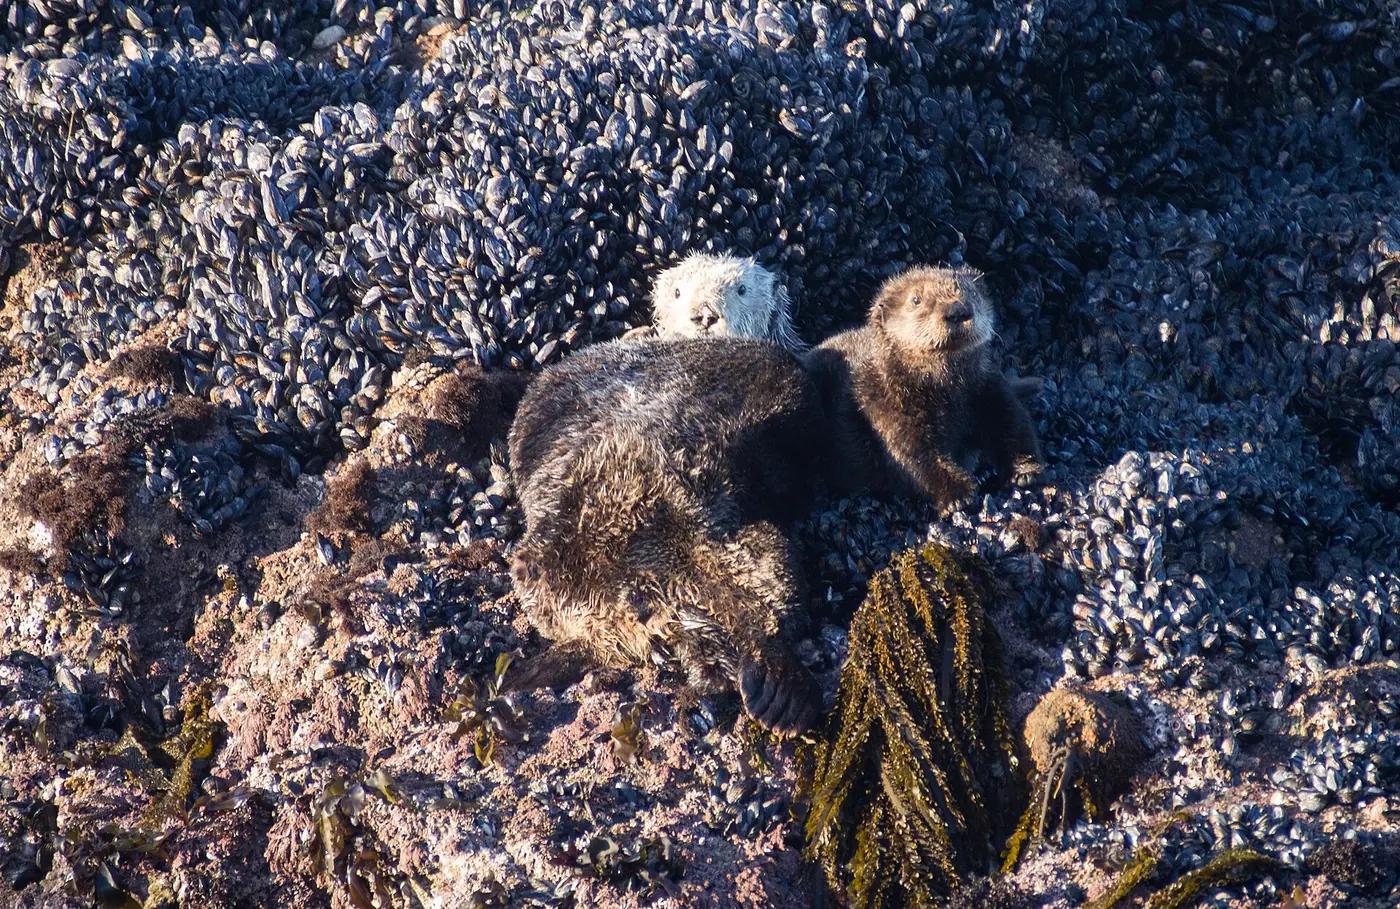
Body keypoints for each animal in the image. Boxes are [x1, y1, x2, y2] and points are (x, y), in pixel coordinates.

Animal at [805, 266, 1044, 512]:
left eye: (971, 292)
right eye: (916, 299)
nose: (957, 310)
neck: (945, 389)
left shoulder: (988, 386)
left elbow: (1011, 423)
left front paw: (1025, 470)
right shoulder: (888, 407)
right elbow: (915, 455)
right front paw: (957, 494)